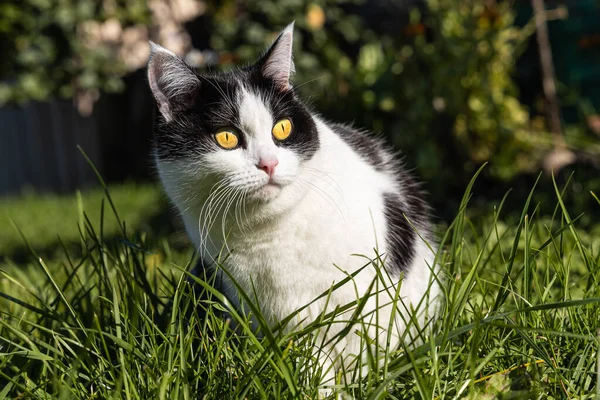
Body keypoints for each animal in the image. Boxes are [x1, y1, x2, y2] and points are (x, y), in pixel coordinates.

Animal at [146, 21, 440, 390]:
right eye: (226, 137)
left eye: (283, 128)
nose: (269, 163)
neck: (269, 234)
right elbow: (311, 358)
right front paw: (318, 388)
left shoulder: (368, 293)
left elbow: (361, 341)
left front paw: (355, 387)